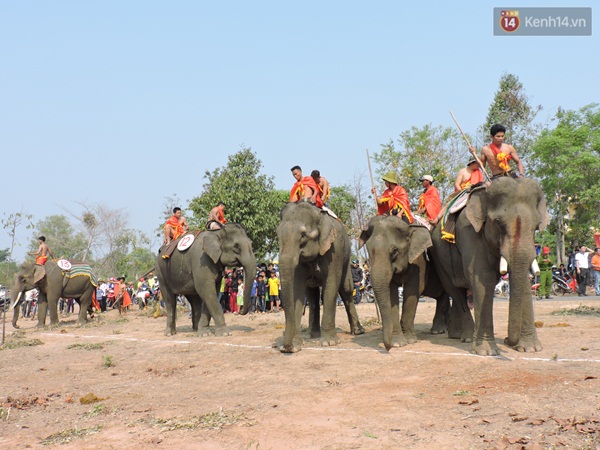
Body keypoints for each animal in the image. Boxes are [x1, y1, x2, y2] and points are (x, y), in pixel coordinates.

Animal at [278, 202, 366, 354]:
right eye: (277, 235)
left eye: (303, 236)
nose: (286, 348)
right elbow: (297, 290)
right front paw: (296, 344)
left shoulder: (334, 251)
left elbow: (331, 286)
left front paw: (329, 343)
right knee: (312, 295)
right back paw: (311, 335)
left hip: (346, 256)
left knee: (346, 289)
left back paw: (358, 331)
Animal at [358, 215, 452, 352]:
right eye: (369, 250)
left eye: (394, 251)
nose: (388, 348)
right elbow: (391, 294)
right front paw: (398, 343)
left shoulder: (419, 262)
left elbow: (411, 292)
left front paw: (410, 340)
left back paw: (437, 331)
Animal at [432, 178, 548, 356]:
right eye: (498, 222)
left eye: (536, 226)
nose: (507, 341)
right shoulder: (469, 231)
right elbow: (482, 278)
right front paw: (487, 352)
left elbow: (524, 281)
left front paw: (530, 348)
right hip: (438, 256)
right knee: (454, 290)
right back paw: (467, 337)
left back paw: (457, 336)